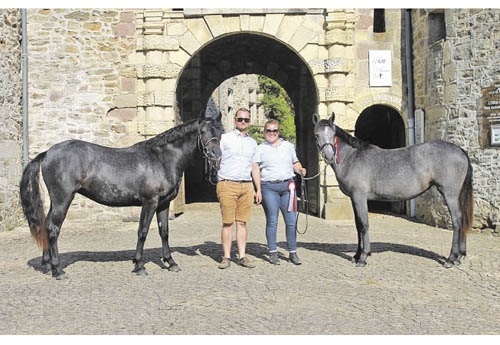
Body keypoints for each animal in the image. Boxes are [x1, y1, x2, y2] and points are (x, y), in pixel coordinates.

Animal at [19, 111, 223, 278]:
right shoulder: (150, 202)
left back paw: (47, 266)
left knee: (46, 225)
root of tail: (47, 153)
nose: (216, 156)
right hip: (63, 199)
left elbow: (164, 232)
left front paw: (171, 263)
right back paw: (57, 270)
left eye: (220, 132)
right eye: (203, 132)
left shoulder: (164, 204)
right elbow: (143, 231)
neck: (161, 159)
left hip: (57, 200)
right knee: (53, 228)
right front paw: (139, 266)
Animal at [312, 111, 472, 268]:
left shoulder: (359, 197)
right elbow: (358, 226)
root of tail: (460, 150)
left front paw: (363, 257)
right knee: (462, 219)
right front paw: (356, 256)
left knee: (457, 221)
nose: (328, 156)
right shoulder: (353, 198)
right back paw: (459, 256)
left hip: (450, 194)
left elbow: (364, 225)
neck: (352, 158)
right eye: (316, 135)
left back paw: (451, 259)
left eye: (333, 134)